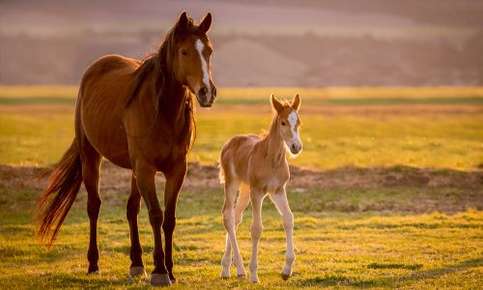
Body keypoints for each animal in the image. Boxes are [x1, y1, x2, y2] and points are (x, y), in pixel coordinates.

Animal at [219, 94, 302, 282]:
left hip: (245, 188)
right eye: (283, 122)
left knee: (236, 217)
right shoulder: (257, 192)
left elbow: (289, 219)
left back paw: (227, 268)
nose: (296, 147)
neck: (272, 159)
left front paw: (287, 269)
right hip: (233, 183)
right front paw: (254, 274)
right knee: (227, 215)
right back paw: (240, 269)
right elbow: (256, 228)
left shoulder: (277, 191)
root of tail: (229, 143)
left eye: (298, 122)